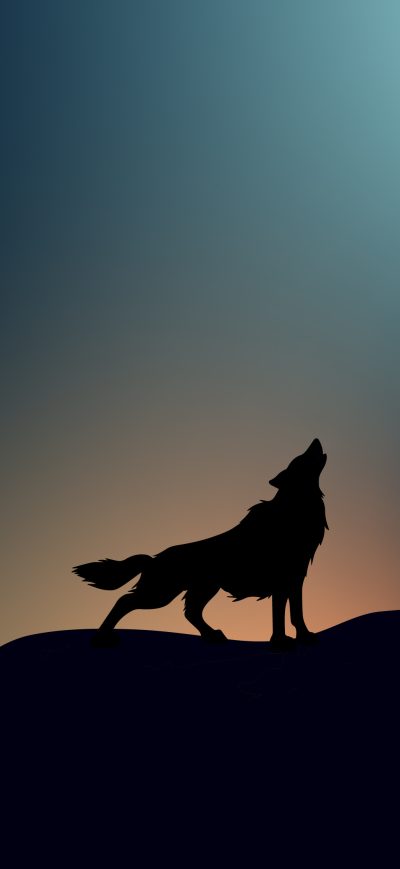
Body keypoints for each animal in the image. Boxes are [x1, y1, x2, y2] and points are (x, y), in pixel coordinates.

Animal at [73, 438, 328, 649]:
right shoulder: (281, 581)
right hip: (161, 593)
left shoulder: (295, 579)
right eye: (301, 459)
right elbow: (280, 615)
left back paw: (213, 635)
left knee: (191, 613)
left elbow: (296, 613)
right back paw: (101, 638)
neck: (291, 512)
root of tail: (154, 559)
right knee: (124, 601)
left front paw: (304, 637)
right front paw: (280, 642)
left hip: (203, 589)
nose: (316, 440)